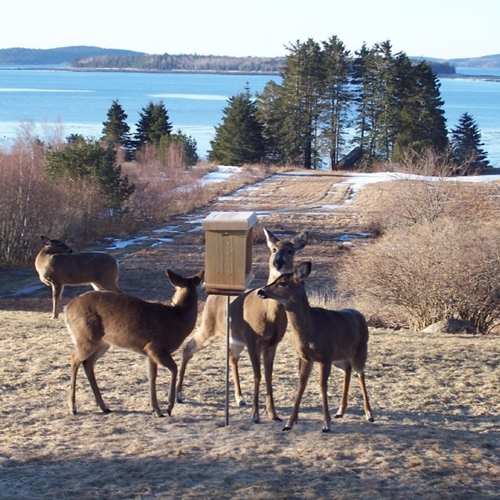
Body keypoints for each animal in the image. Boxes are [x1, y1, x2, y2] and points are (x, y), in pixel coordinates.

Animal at [64, 270, 203, 418]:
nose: (172, 300)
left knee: (88, 363)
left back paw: (104, 407)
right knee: (74, 359)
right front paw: (168, 408)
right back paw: (73, 408)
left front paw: (156, 409)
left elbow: (152, 376)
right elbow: (174, 369)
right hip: (86, 337)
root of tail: (67, 309)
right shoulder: (156, 347)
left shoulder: (150, 353)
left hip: (102, 343)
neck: (178, 320)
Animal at [176, 229, 308, 424]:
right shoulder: (252, 339)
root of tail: (211, 296)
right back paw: (179, 395)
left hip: (235, 338)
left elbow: (268, 376)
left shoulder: (272, 343)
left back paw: (240, 398)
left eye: (290, 251)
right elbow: (257, 375)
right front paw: (255, 415)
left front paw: (273, 414)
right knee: (188, 346)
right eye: (273, 249)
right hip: (209, 325)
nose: (278, 262)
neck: (268, 315)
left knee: (232, 358)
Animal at [258, 264, 376, 432]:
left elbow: (322, 386)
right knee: (348, 370)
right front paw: (289, 423)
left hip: (360, 350)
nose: (261, 291)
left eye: (283, 283)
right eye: (276, 279)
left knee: (360, 374)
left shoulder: (324, 356)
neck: (310, 328)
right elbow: (301, 386)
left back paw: (369, 414)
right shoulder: (306, 357)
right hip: (339, 357)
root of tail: (360, 315)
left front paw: (326, 424)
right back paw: (340, 411)